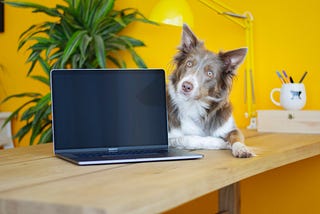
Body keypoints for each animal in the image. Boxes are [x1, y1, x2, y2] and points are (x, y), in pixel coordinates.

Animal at [168, 23, 255, 157]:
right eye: (189, 64)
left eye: (210, 73)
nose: (186, 86)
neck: (197, 105)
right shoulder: (168, 138)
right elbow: (188, 138)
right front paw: (220, 142)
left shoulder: (231, 128)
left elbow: (236, 136)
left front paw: (242, 148)